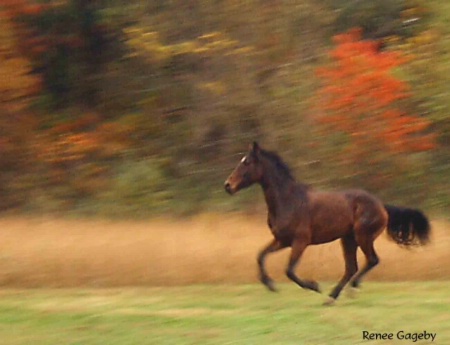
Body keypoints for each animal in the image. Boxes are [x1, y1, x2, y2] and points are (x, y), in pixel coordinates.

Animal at [223, 141, 430, 302]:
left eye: (247, 163)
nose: (227, 186)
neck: (288, 200)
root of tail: (382, 206)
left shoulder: (300, 241)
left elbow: (289, 270)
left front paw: (314, 286)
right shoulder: (282, 240)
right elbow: (260, 256)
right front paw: (270, 285)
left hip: (362, 236)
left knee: (371, 260)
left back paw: (350, 288)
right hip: (348, 239)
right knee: (351, 267)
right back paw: (333, 296)